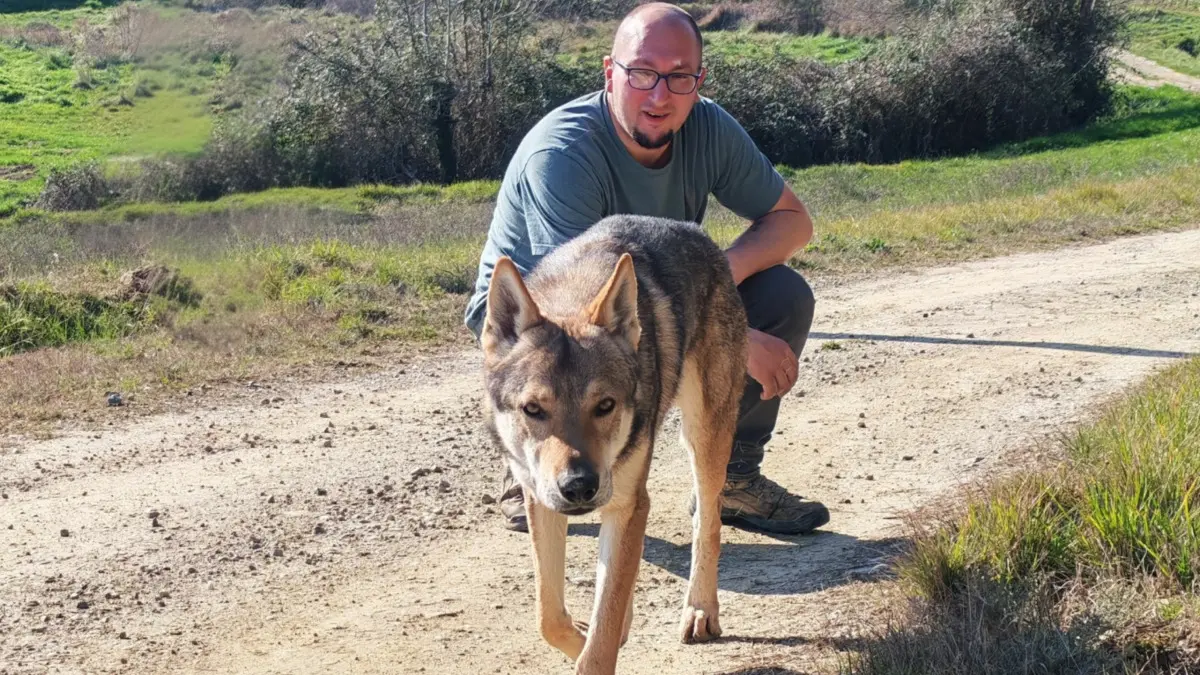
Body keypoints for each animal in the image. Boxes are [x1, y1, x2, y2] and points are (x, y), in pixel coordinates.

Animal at [480, 214, 749, 674]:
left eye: (604, 405)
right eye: (533, 409)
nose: (579, 486)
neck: (572, 296)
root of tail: (696, 232)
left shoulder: (626, 503)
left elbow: (599, 647)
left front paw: (598, 643)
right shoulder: (541, 500)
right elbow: (550, 617)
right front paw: (586, 636)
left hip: (704, 436)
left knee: (707, 524)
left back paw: (700, 610)